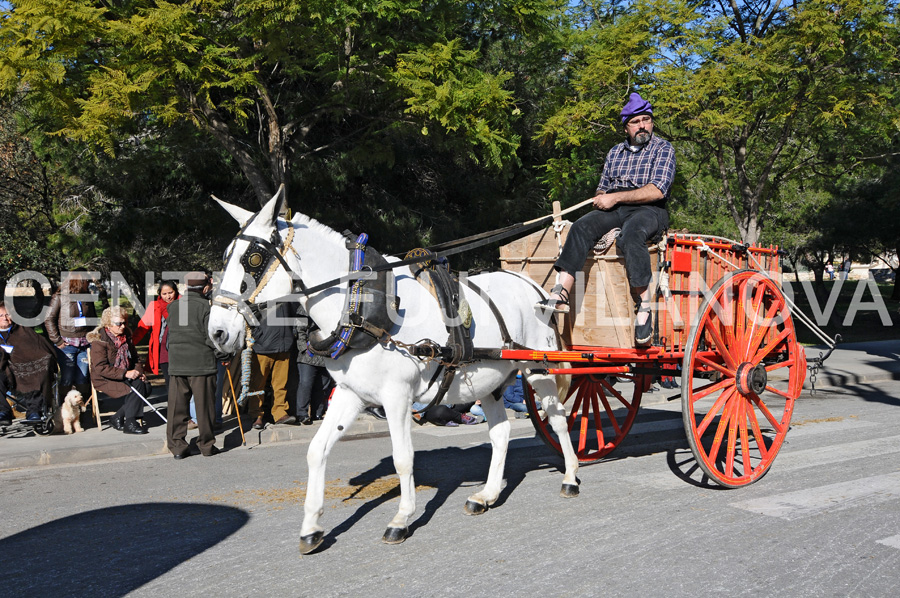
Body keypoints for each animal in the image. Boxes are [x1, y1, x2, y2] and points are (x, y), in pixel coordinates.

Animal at [208, 189, 580, 556]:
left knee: (558, 420)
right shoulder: (349, 394)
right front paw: (311, 528)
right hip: (489, 379)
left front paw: (401, 519)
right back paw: (486, 495)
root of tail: (534, 288)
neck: (359, 306)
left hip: (538, 367)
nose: (217, 332)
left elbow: (403, 458)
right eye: (227, 255)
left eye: (253, 260)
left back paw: (571, 477)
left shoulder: (397, 397)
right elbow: (317, 449)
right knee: (501, 433)